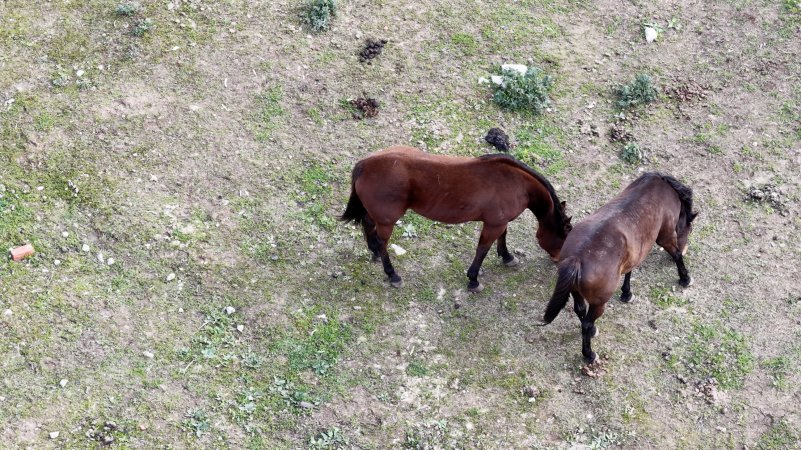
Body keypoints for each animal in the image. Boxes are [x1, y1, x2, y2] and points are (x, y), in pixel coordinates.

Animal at [339, 146, 572, 292]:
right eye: (565, 235)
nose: (558, 261)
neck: (515, 182)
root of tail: (366, 164)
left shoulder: (500, 222)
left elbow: (502, 239)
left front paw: (507, 257)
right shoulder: (493, 225)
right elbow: (482, 250)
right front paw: (474, 280)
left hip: (377, 216)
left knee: (369, 225)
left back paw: (374, 252)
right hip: (388, 222)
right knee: (382, 242)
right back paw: (392, 274)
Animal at [540, 172, 697, 364]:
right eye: (689, 228)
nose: (685, 246)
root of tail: (577, 258)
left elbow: (630, 270)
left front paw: (627, 293)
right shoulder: (665, 236)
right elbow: (676, 255)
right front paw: (685, 278)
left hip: (576, 292)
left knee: (581, 311)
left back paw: (592, 332)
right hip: (599, 303)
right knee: (587, 323)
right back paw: (589, 354)